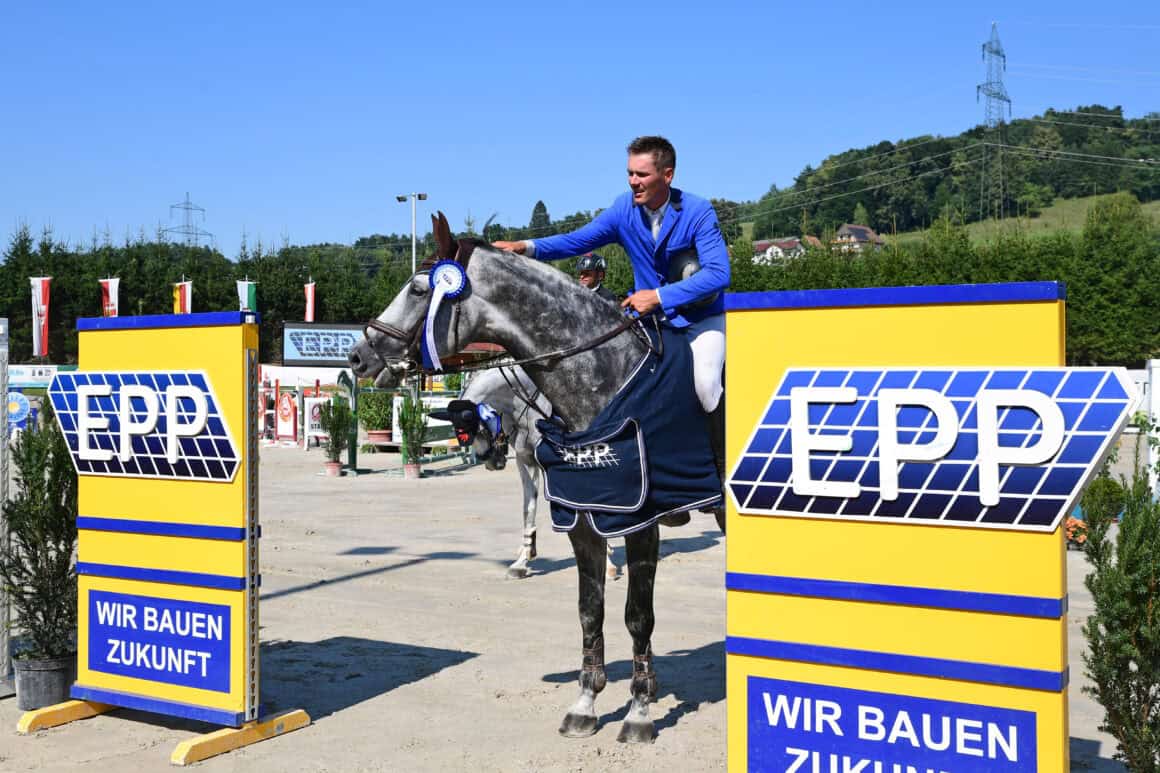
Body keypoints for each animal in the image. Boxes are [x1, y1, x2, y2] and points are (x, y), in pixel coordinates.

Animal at [452, 366, 621, 578]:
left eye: (479, 429)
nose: (491, 462)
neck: (531, 410)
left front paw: (608, 562)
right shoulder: (526, 461)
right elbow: (529, 508)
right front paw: (522, 561)